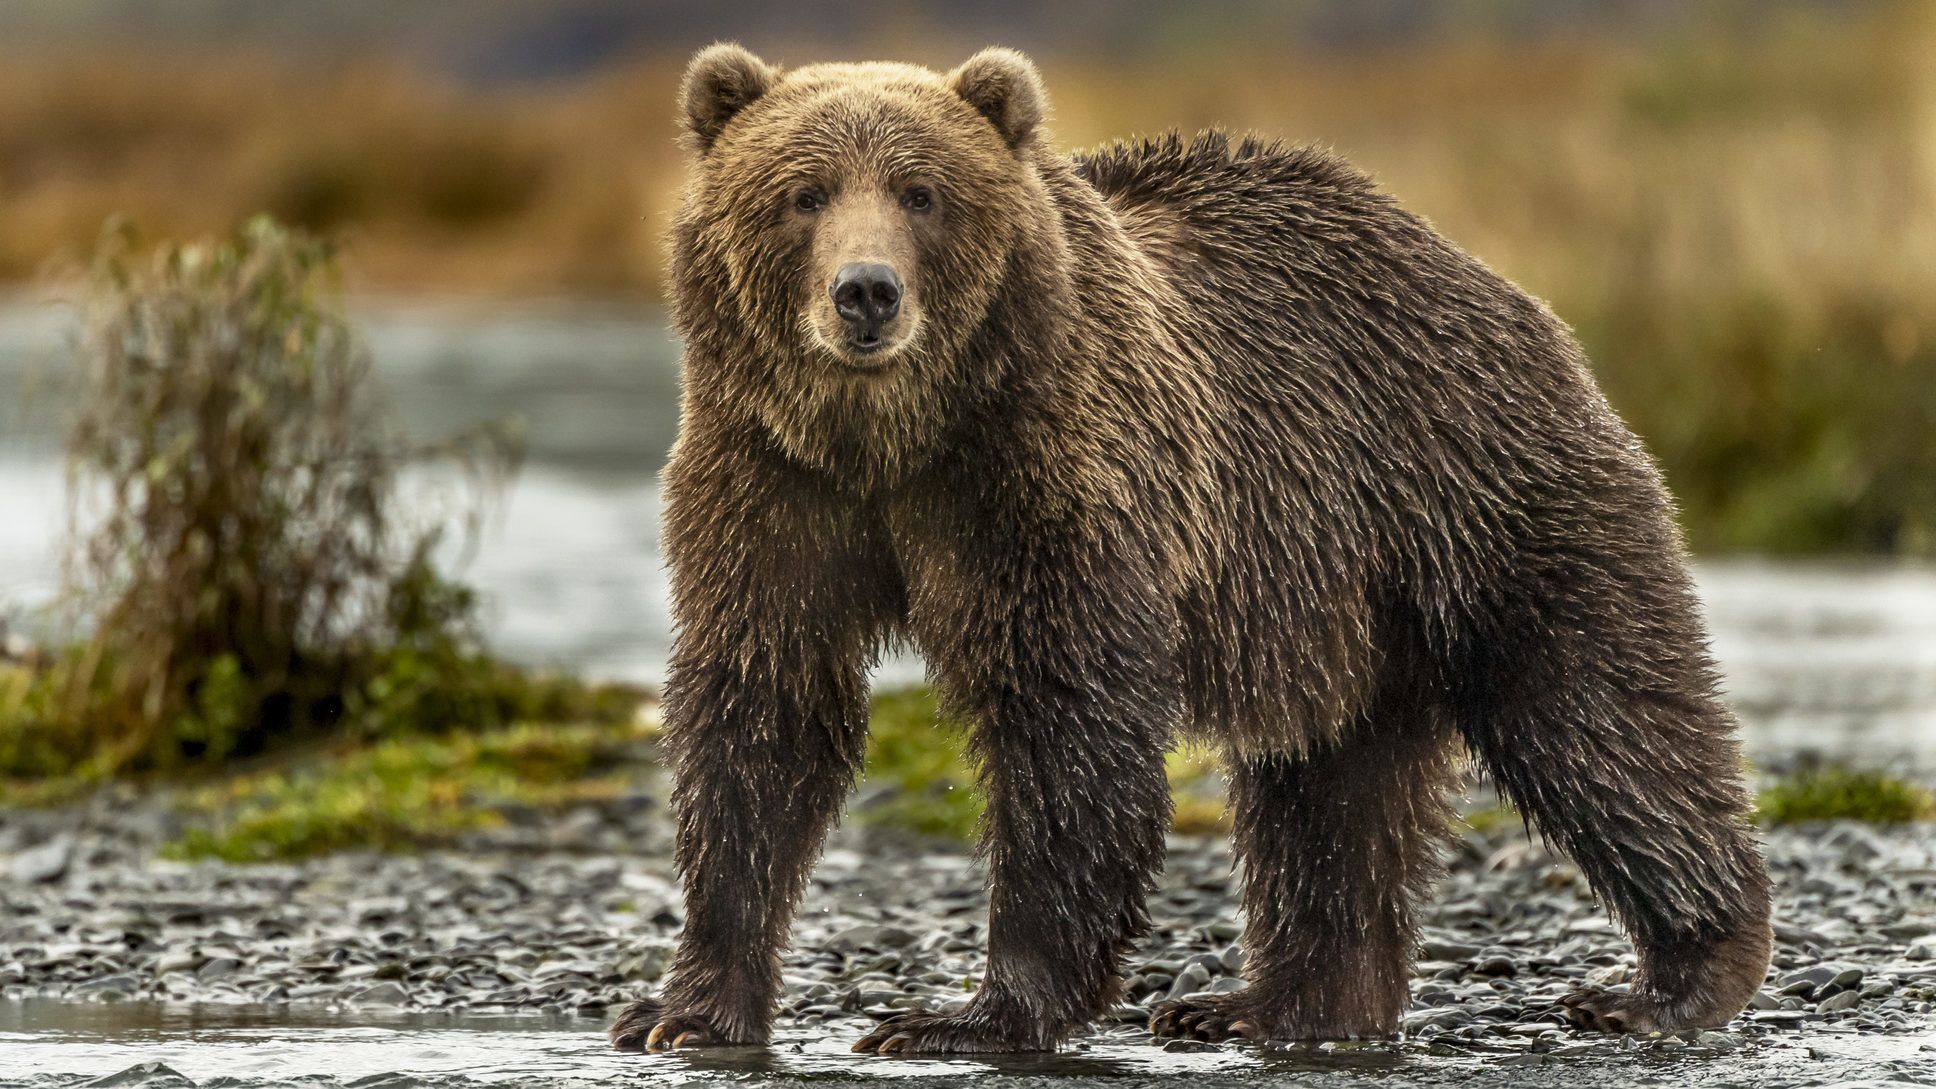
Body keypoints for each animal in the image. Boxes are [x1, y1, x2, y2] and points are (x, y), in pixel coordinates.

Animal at [604, 44, 1773, 1054]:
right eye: (803, 193)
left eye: (922, 193)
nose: (865, 293)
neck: (894, 439)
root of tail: (1492, 281)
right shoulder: (770, 484)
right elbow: (764, 712)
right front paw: (683, 1009)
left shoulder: (1046, 478)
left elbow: (1064, 718)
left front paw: (966, 1015)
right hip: (1339, 598)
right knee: (1326, 787)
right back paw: (1271, 1002)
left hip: (1474, 490)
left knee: (1595, 713)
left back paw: (1669, 977)